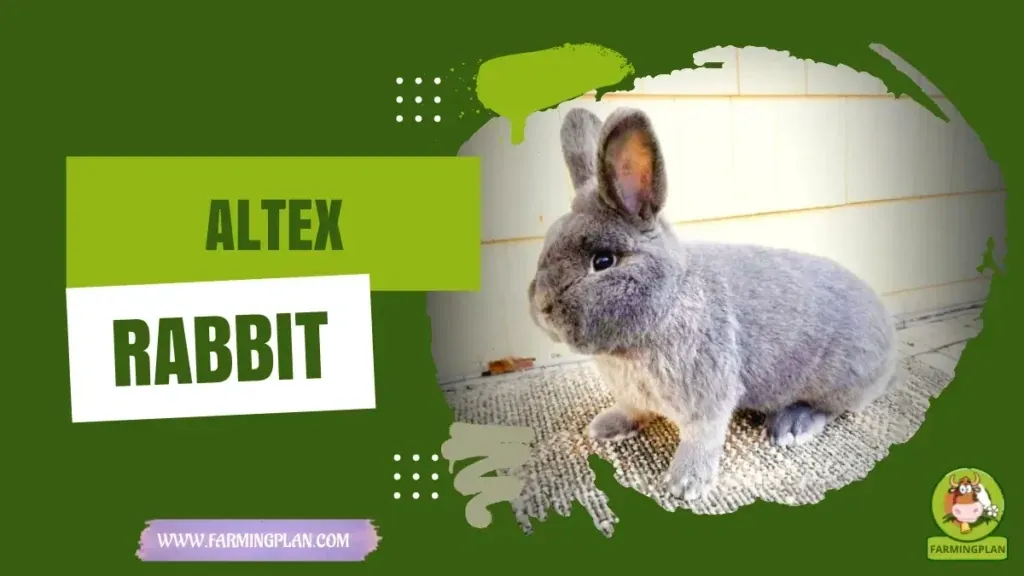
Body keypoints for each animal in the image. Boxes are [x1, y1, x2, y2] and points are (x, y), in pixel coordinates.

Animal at [527, 106, 898, 501]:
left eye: (602, 261)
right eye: (547, 244)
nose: (541, 309)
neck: (668, 302)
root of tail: (890, 349)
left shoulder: (709, 400)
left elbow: (701, 439)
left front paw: (685, 484)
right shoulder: (633, 395)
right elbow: (632, 410)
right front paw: (605, 427)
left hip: (839, 379)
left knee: (833, 408)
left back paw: (792, 424)